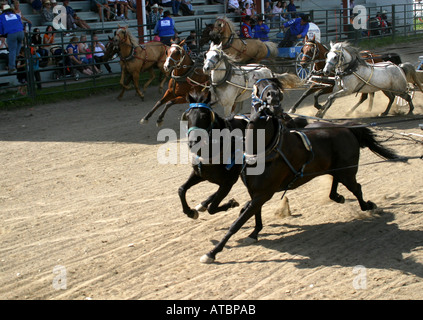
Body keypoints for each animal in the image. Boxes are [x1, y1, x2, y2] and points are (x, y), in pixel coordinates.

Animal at [199, 77, 404, 262]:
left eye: (275, 85)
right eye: (259, 85)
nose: (273, 98)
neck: (264, 150)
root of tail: (346, 128)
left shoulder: (263, 194)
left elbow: (237, 222)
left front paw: (212, 252)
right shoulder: (255, 192)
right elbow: (252, 212)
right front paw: (254, 232)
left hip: (348, 171)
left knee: (357, 188)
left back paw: (368, 206)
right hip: (337, 168)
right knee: (337, 181)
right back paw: (338, 196)